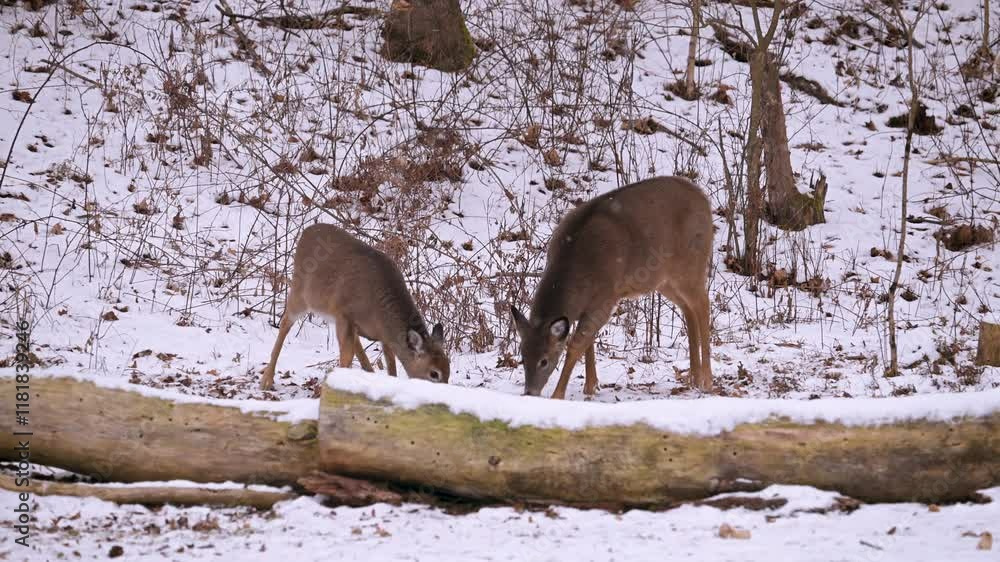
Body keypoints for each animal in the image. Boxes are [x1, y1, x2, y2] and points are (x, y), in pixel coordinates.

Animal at [260, 223, 449, 390]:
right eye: (434, 373)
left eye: (448, 369)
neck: (379, 310)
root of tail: (307, 231)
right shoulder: (344, 315)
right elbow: (346, 359)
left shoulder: (382, 336)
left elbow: (391, 367)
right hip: (300, 294)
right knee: (285, 323)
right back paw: (266, 380)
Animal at [510, 176, 714, 399]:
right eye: (522, 357)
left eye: (544, 360)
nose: (530, 392)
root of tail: (705, 201)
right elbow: (589, 343)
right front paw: (590, 386)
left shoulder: (606, 297)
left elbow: (576, 345)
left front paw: (559, 395)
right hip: (664, 281)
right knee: (688, 309)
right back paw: (693, 377)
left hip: (691, 265)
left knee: (703, 304)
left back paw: (707, 380)